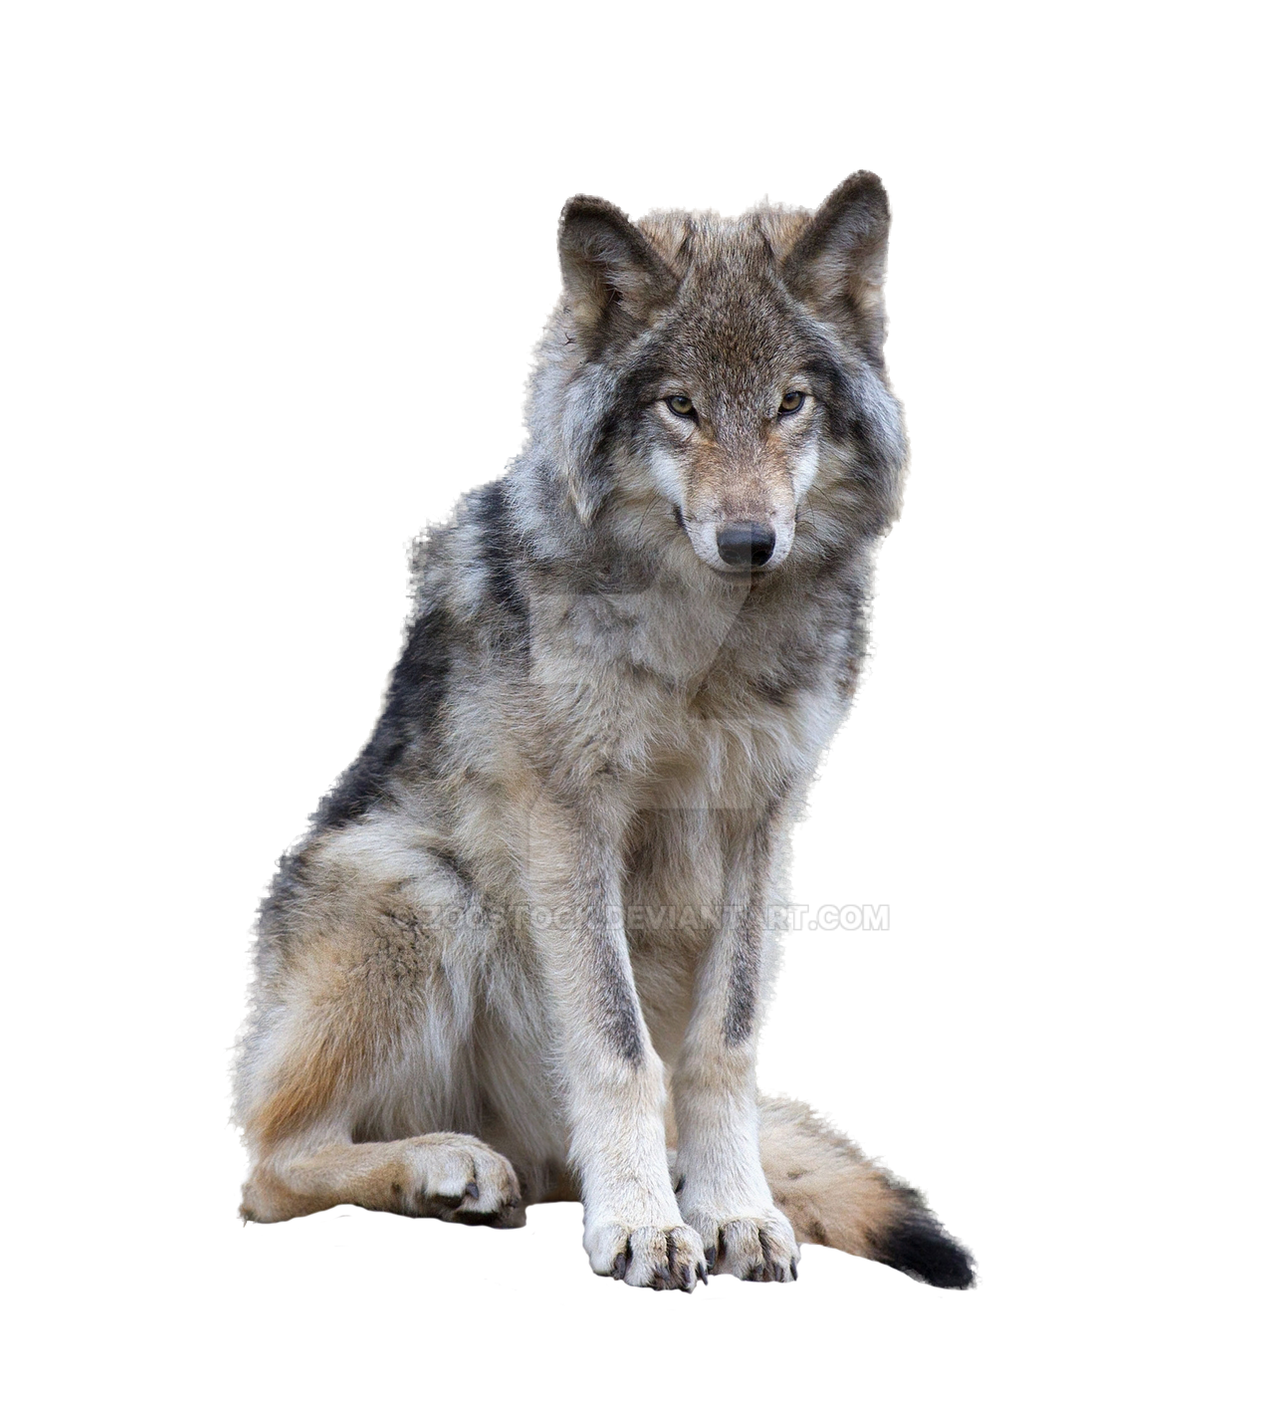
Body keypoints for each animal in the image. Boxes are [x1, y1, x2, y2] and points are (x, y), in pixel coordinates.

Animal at [229, 171, 980, 1292]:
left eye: (788, 402)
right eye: (680, 405)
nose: (748, 538)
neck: (711, 648)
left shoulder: (763, 824)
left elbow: (721, 1044)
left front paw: (733, 1211)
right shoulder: (570, 817)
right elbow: (618, 1043)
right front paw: (641, 1226)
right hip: (419, 883)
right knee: (269, 1165)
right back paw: (449, 1168)